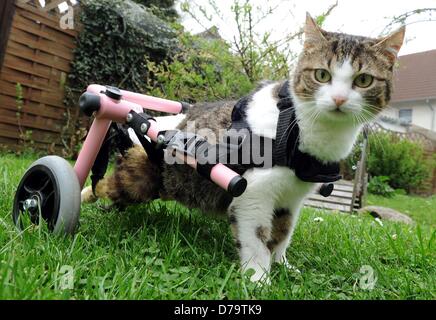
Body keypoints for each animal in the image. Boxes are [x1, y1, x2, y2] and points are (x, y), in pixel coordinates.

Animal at [82, 13, 406, 282]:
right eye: (322, 75)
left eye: (364, 80)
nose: (339, 99)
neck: (302, 131)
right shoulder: (253, 195)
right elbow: (257, 238)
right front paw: (259, 279)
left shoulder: (291, 199)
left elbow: (282, 234)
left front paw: (283, 265)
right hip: (136, 181)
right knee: (101, 185)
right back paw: (83, 194)